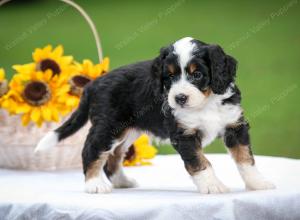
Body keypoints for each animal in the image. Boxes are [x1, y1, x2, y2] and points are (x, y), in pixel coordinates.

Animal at [35, 37, 274, 193]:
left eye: (197, 74)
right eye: (169, 76)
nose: (179, 98)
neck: (206, 103)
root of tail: (92, 85)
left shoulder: (234, 126)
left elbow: (246, 159)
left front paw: (258, 184)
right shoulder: (184, 134)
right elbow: (200, 162)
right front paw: (212, 185)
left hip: (127, 131)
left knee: (113, 158)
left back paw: (123, 182)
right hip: (108, 127)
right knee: (91, 151)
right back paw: (94, 185)